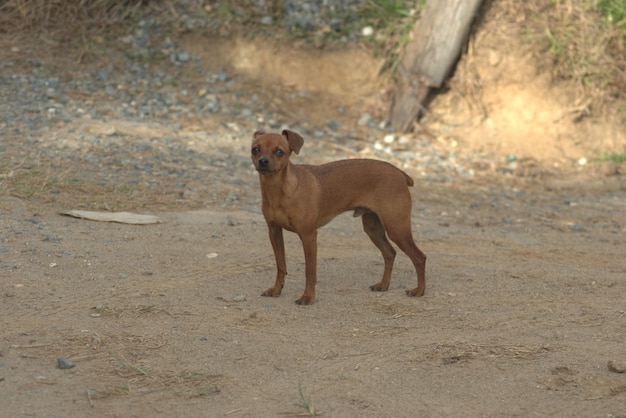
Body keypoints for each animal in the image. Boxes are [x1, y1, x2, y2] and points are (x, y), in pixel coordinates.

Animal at [249, 129, 424, 306]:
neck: (279, 190)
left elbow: (310, 271)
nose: (263, 161)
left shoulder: (308, 236)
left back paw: (419, 291)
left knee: (419, 257)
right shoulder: (274, 232)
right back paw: (383, 285)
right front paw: (276, 290)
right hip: (373, 229)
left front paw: (308, 297)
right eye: (255, 149)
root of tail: (400, 173)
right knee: (390, 253)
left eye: (279, 151)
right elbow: (281, 265)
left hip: (397, 229)